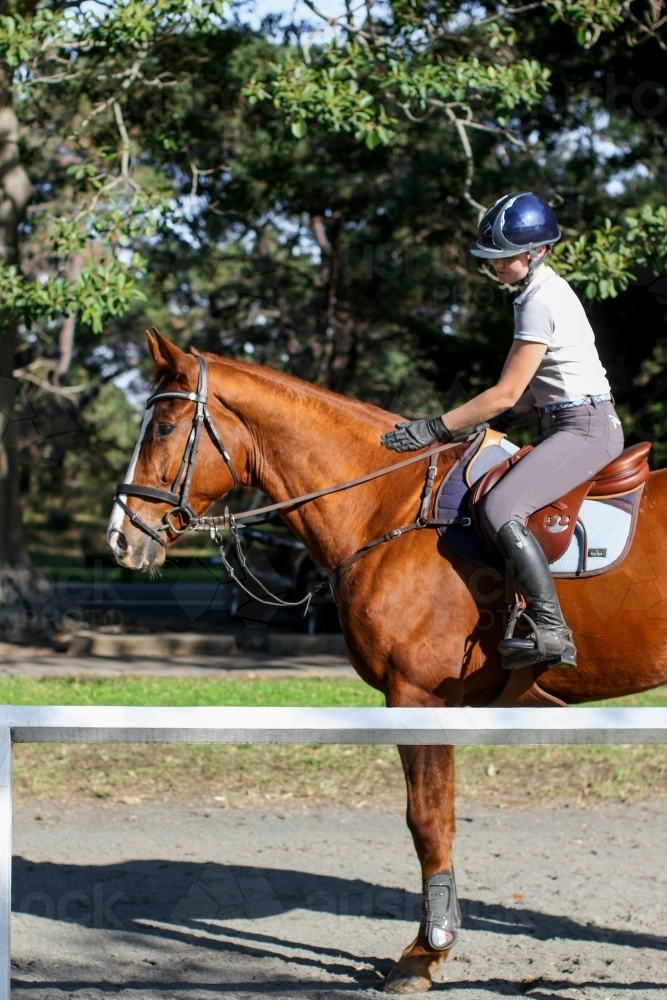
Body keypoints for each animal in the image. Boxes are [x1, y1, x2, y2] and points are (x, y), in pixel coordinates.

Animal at [107, 331, 667, 993]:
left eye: (166, 427)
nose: (121, 539)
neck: (388, 508)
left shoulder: (418, 696)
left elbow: (428, 820)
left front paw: (426, 953)